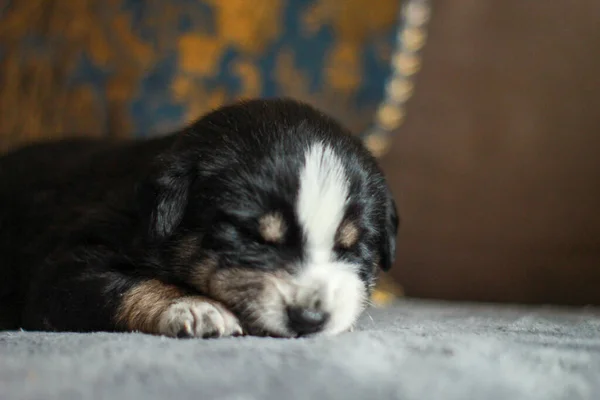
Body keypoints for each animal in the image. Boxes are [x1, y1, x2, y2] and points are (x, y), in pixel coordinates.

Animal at [0, 98, 398, 340]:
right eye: (253, 238)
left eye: (351, 248)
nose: (310, 320)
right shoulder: (64, 269)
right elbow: (127, 285)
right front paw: (194, 306)